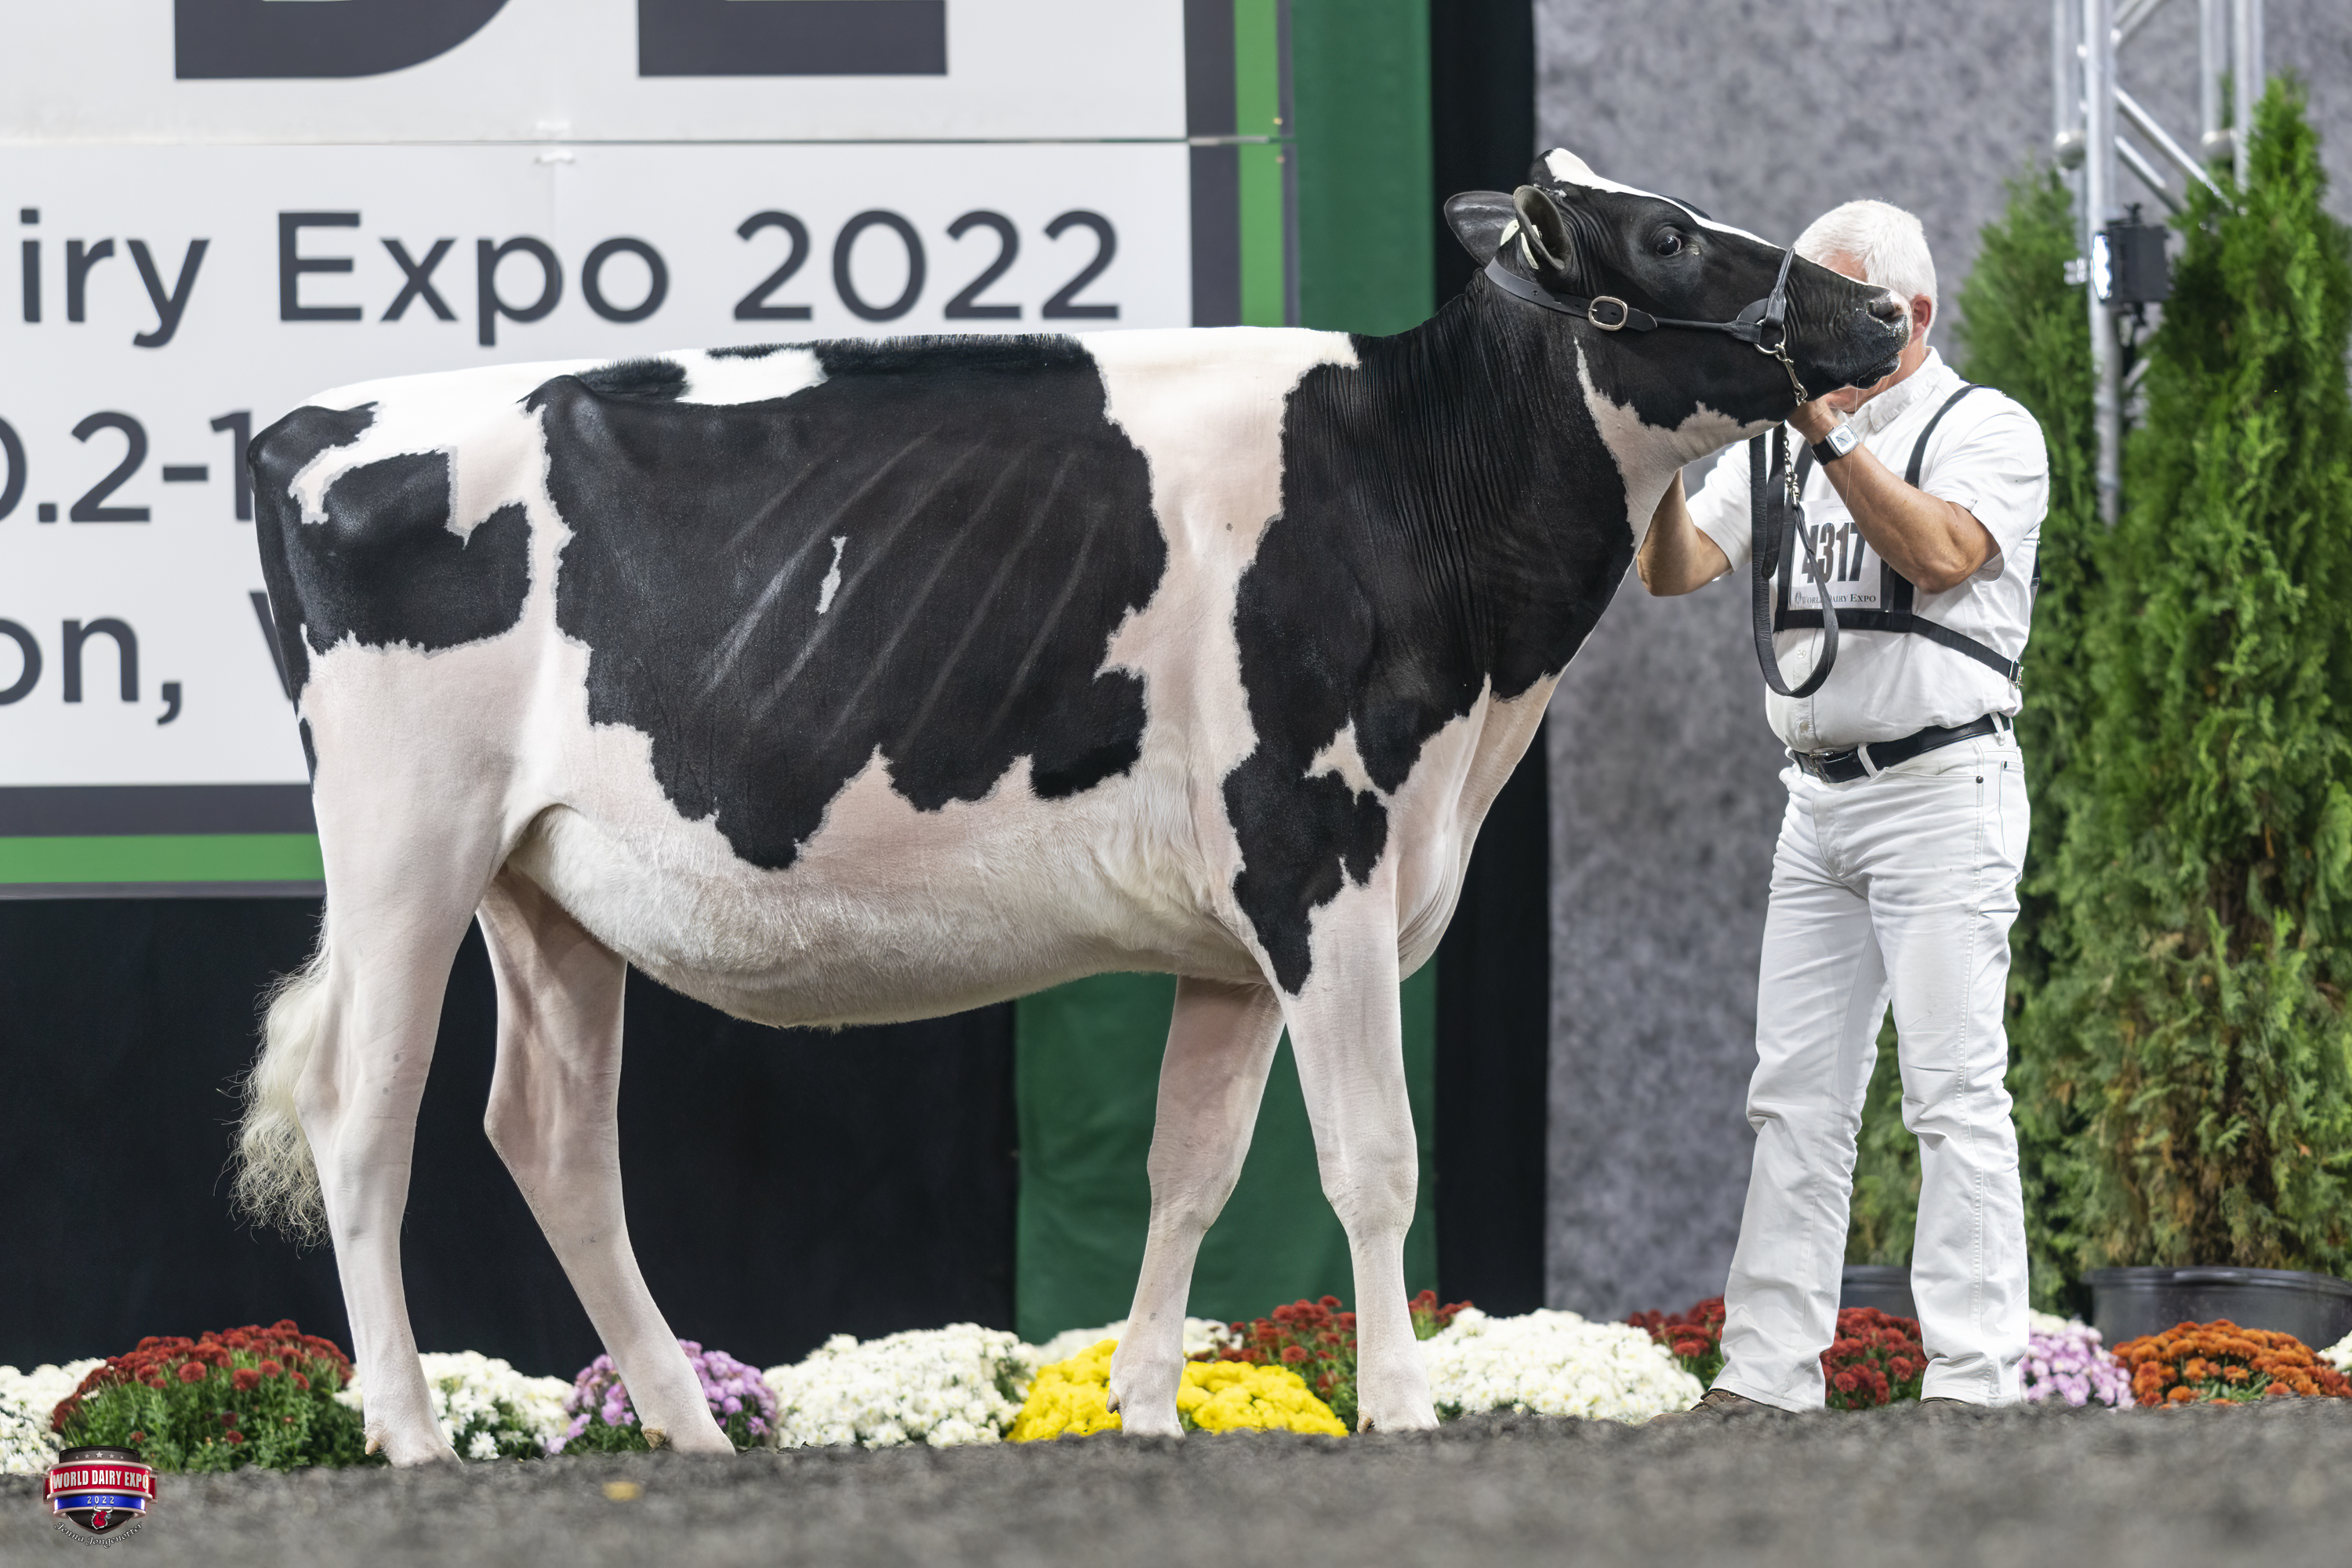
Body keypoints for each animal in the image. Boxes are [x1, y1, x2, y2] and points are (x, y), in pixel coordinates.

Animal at [233, 150, 1907, 1463]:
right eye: (1669, 236)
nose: (1880, 311)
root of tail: (308, 419)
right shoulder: (1320, 853)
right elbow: (1373, 1159)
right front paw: (1402, 1406)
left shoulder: (1238, 928)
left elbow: (1193, 1168)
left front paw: (1151, 1407)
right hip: (405, 841)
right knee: (365, 1113)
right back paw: (412, 1433)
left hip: (544, 886)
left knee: (555, 1136)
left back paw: (692, 1430)